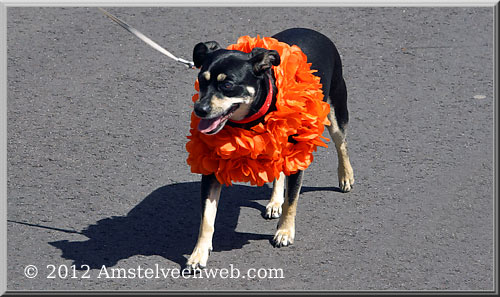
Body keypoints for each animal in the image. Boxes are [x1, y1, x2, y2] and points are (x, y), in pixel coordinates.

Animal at [186, 28, 354, 270]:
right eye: (201, 80)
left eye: (227, 85)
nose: (199, 109)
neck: (249, 121)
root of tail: (312, 30)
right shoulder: (212, 167)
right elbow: (207, 218)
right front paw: (198, 253)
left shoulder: (297, 158)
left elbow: (292, 200)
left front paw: (284, 232)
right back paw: (275, 201)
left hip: (335, 111)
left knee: (342, 144)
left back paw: (346, 176)